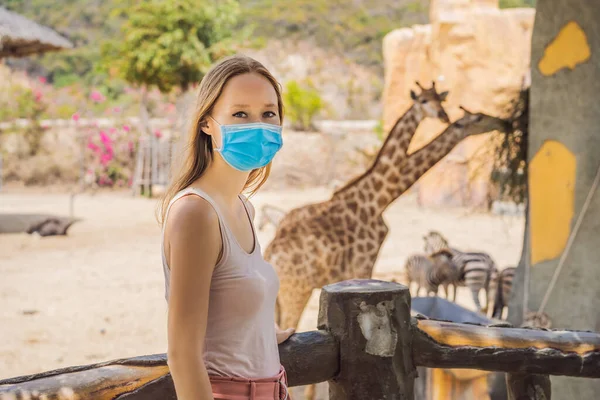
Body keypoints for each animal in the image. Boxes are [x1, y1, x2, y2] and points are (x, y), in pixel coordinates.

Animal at [264, 104, 508, 332]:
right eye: (479, 118)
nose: (504, 122)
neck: (377, 199)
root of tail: (271, 255)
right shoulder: (362, 264)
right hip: (296, 292)